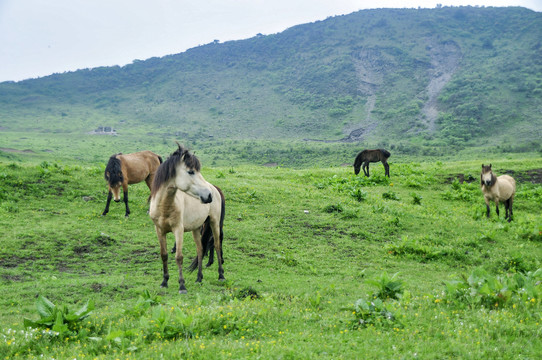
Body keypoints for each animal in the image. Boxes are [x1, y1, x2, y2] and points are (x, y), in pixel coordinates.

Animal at [149, 142, 225, 294]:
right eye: (191, 172)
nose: (208, 195)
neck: (164, 206)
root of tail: (215, 188)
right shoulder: (159, 230)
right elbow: (164, 255)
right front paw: (164, 282)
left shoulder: (178, 230)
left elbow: (179, 257)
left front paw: (182, 286)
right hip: (197, 228)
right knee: (200, 249)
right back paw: (199, 278)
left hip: (214, 222)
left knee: (217, 245)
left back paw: (221, 275)